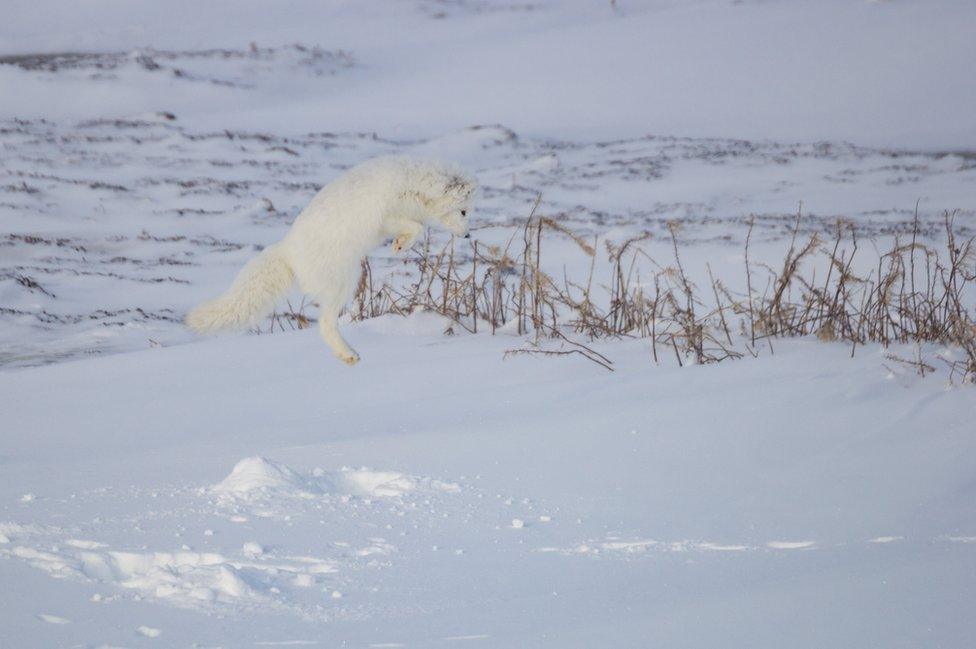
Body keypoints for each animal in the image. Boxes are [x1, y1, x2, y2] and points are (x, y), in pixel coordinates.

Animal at [186, 154, 476, 362]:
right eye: (463, 211)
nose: (468, 235)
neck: (416, 183)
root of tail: (287, 248)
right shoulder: (385, 214)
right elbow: (415, 227)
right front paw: (400, 245)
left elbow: (417, 227)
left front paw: (400, 244)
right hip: (343, 282)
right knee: (325, 324)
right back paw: (348, 354)